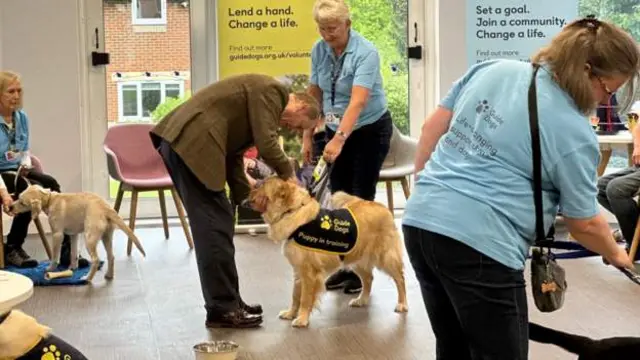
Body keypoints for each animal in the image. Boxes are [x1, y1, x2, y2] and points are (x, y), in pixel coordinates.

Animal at [10, 184, 146, 282]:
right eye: (18, 198)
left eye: (22, 202)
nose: (10, 207)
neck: (50, 199)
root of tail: (105, 207)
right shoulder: (73, 235)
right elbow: (73, 253)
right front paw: (73, 268)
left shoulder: (57, 235)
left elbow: (55, 257)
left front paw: (50, 269)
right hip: (106, 237)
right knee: (111, 257)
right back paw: (109, 275)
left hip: (89, 238)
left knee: (96, 260)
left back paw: (87, 278)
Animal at [248, 177, 408, 330]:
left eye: (261, 185)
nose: (248, 193)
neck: (292, 211)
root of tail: (382, 207)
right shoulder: (298, 270)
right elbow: (295, 296)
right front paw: (291, 313)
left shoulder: (309, 273)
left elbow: (305, 298)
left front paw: (302, 319)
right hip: (356, 259)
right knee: (369, 278)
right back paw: (361, 299)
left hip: (386, 257)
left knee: (400, 279)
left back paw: (402, 304)